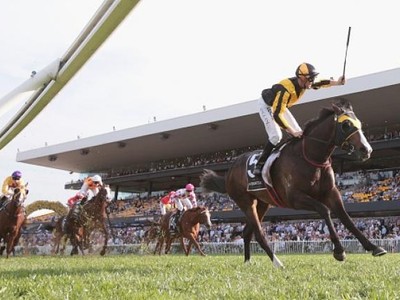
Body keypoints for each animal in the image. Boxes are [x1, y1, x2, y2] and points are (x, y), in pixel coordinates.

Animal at [202, 99, 386, 268]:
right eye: (346, 125)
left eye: (359, 123)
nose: (366, 150)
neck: (310, 157)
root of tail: (229, 171)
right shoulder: (294, 198)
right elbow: (324, 210)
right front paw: (339, 251)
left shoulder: (331, 192)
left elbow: (345, 217)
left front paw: (374, 247)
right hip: (245, 202)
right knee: (259, 234)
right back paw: (277, 263)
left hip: (262, 203)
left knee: (247, 232)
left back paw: (248, 262)